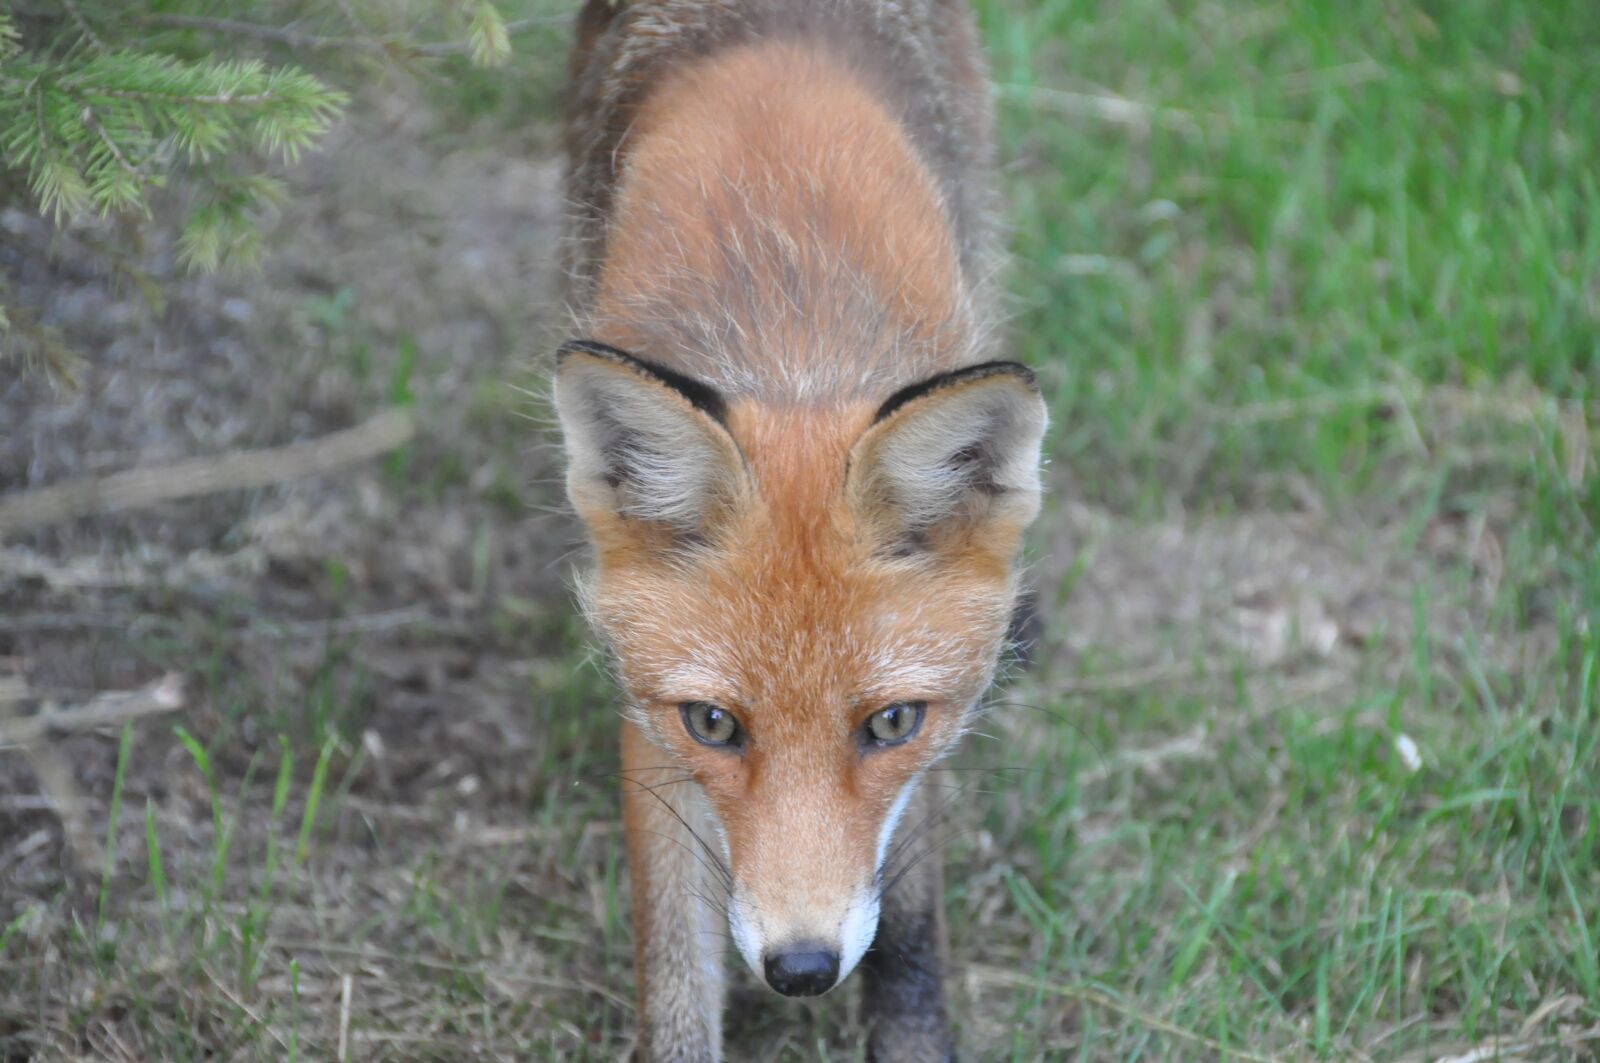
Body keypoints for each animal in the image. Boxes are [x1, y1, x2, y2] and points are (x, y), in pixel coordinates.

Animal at [554, 1, 1046, 1058]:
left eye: (889, 723)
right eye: (714, 724)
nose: (804, 969)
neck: (794, 346)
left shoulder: (931, 728)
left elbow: (910, 916)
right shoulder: (647, 707)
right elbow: (674, 971)